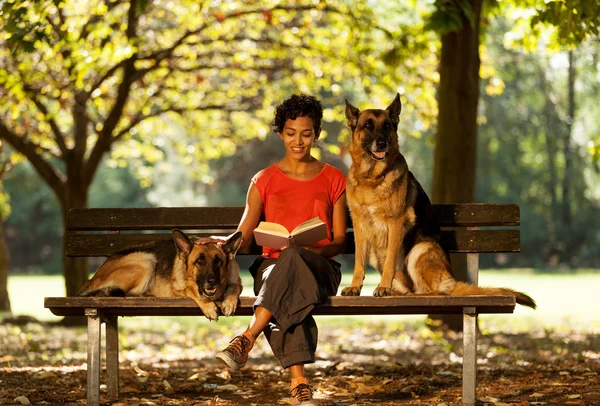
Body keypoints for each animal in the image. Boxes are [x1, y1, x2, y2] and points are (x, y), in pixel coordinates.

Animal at [78, 228, 245, 320]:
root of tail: (90, 280)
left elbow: (234, 288)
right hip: (147, 260)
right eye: (199, 261)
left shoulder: (236, 282)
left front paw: (229, 302)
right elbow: (193, 291)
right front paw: (208, 306)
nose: (211, 281)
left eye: (218, 261)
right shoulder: (180, 288)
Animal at [340, 93, 536, 310]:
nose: (382, 143)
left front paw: (383, 286)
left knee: (435, 292)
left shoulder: (395, 223)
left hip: (420, 250)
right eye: (368, 125)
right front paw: (355, 287)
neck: (371, 179)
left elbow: (390, 260)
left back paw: (411, 294)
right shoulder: (360, 226)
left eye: (387, 126)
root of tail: (452, 280)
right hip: (380, 256)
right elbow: (358, 261)